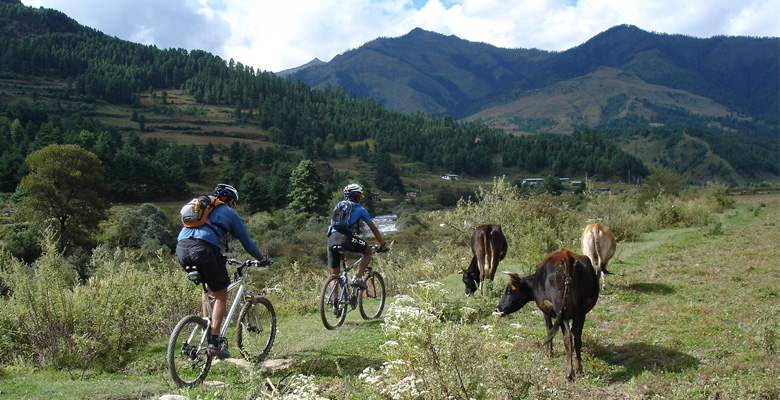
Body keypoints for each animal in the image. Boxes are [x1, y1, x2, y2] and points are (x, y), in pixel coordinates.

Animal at [496, 247, 600, 382]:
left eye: (509, 290)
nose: (498, 308)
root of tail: (567, 257)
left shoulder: (546, 311)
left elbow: (549, 329)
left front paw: (548, 353)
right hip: (580, 310)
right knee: (576, 336)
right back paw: (579, 369)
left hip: (561, 309)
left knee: (567, 337)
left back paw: (569, 373)